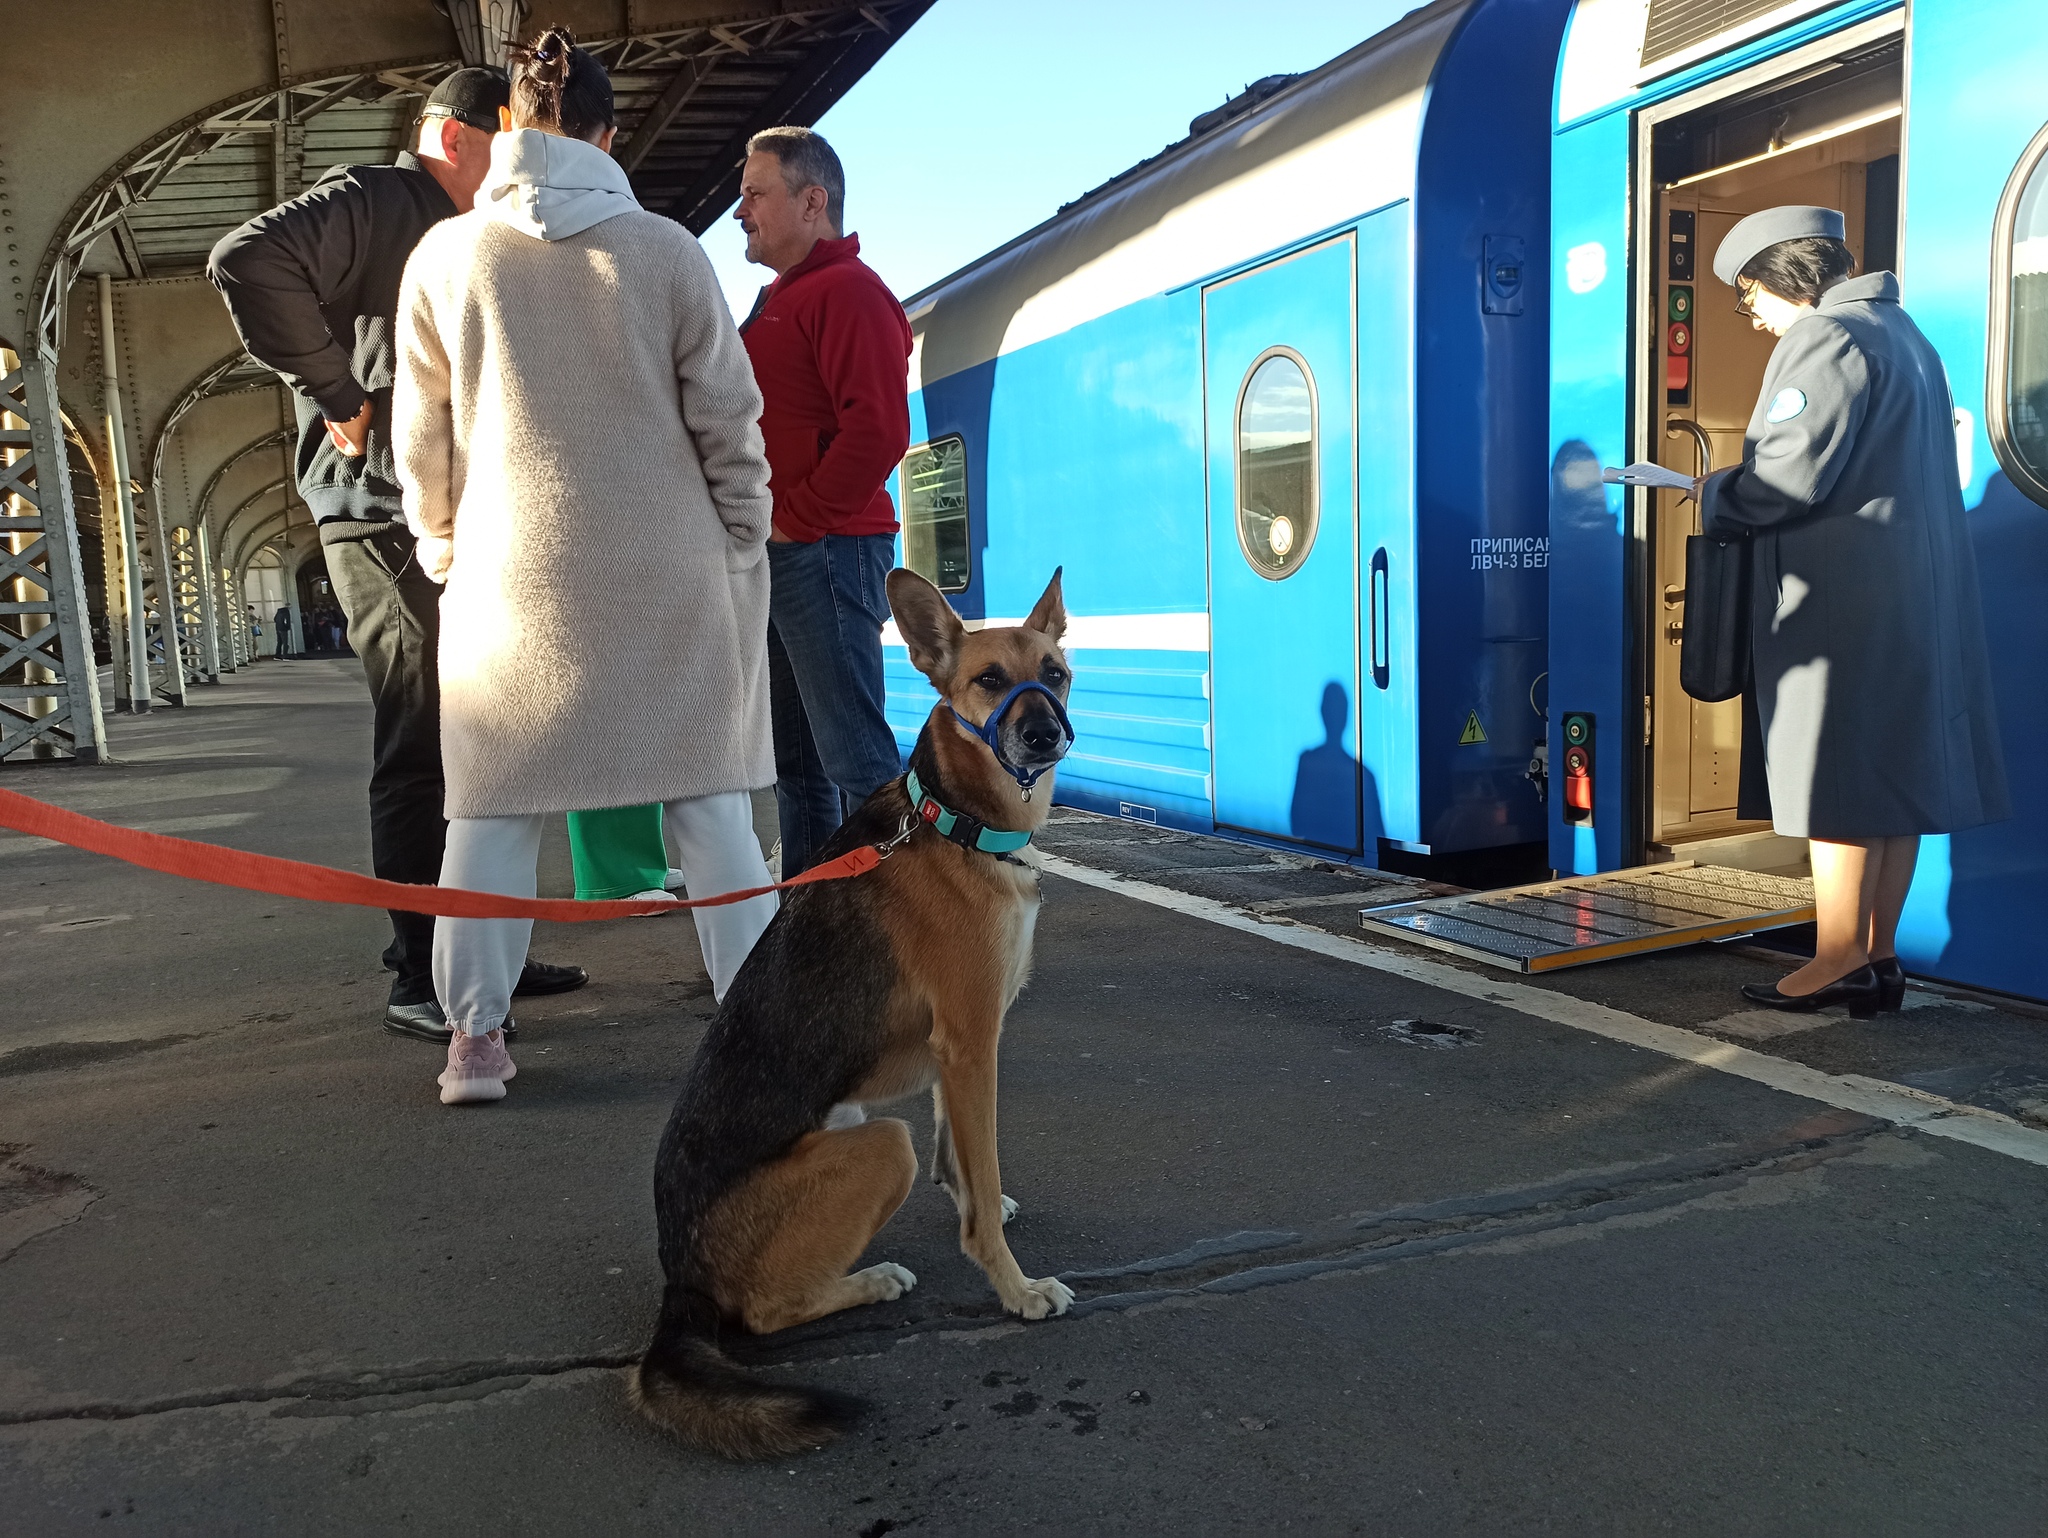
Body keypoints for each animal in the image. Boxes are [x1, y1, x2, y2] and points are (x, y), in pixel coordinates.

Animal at [630, 573, 1081, 1458]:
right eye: (988, 681)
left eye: (1055, 673)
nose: (1045, 732)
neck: (954, 822)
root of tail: (679, 1280)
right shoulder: (973, 1044)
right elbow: (977, 1189)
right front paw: (1014, 1287)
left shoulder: (953, 1057)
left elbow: (962, 1163)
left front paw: (977, 1198)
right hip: (879, 1146)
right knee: (762, 1311)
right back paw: (868, 1280)